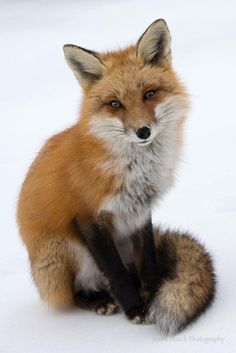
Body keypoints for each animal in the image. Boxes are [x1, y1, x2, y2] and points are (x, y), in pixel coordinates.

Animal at [17, 18, 215, 332]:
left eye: (149, 94)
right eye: (114, 104)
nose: (143, 131)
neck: (134, 169)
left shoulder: (141, 210)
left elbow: (149, 261)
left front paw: (154, 294)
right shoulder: (88, 217)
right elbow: (116, 272)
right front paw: (134, 308)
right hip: (61, 250)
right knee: (73, 293)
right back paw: (98, 300)